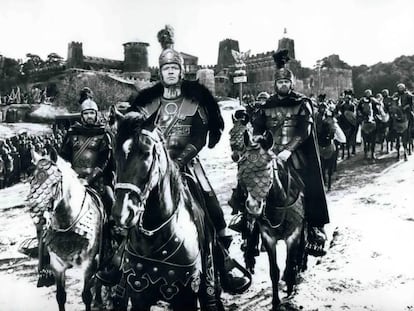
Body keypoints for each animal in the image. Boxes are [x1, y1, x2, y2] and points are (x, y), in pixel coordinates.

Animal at [27, 150, 104, 310]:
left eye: (54, 184)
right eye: (32, 182)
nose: (39, 218)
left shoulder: (88, 266)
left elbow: (86, 296)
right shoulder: (57, 267)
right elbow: (61, 297)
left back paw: (99, 300)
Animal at [236, 130, 308, 310]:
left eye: (267, 168)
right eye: (241, 168)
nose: (253, 206)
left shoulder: (293, 235)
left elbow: (290, 262)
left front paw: (290, 288)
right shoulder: (268, 237)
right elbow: (274, 271)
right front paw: (276, 302)